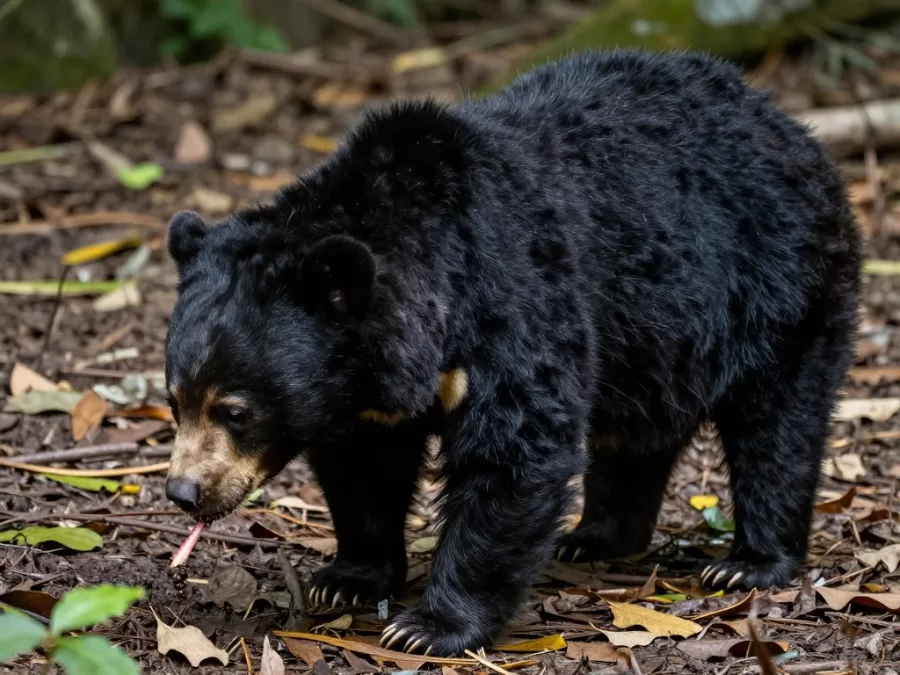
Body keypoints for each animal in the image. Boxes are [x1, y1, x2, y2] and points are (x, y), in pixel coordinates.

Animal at [162, 49, 862, 656]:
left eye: (236, 410)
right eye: (175, 401)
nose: (184, 492)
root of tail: (789, 126)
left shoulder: (515, 297)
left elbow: (518, 446)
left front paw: (428, 628)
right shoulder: (363, 393)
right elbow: (365, 467)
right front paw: (347, 577)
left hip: (779, 288)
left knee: (777, 425)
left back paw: (748, 564)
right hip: (659, 337)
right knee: (637, 435)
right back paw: (597, 537)